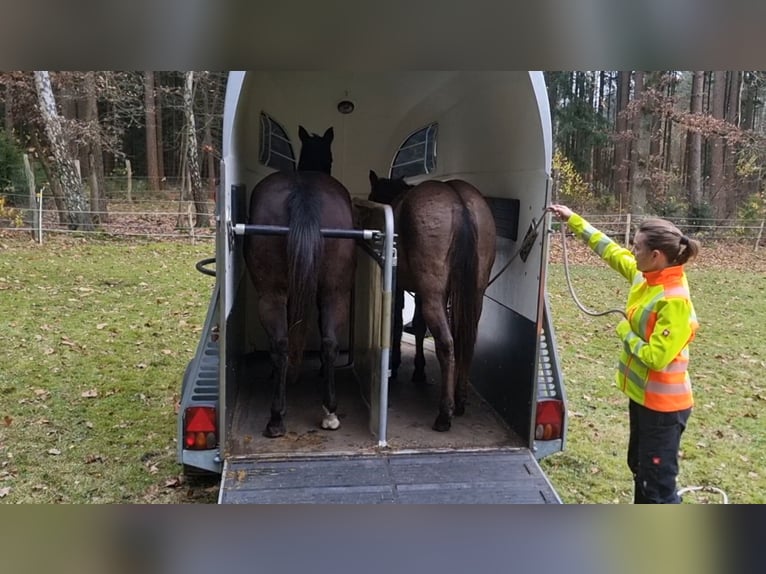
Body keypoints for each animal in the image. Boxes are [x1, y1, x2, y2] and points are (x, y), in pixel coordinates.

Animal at [243, 126, 356, 438]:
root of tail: (303, 193)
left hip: (272, 295)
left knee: (280, 343)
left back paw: (276, 417)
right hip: (333, 292)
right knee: (328, 342)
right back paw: (329, 411)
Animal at [368, 170, 496, 431]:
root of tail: (459, 203)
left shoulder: (402, 289)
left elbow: (399, 323)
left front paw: (398, 363)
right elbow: (418, 327)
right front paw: (418, 370)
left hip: (433, 297)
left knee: (446, 343)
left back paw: (445, 413)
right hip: (474, 297)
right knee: (466, 341)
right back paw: (460, 400)